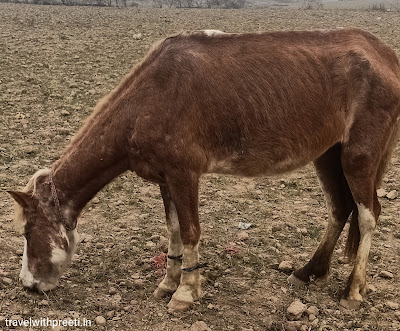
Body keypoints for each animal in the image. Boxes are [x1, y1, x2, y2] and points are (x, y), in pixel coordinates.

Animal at [8, 27, 400, 312]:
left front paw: (185, 292)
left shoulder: (185, 173)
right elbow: (174, 230)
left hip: (358, 156)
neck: (151, 97)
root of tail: (385, 55)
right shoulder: (165, 177)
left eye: (28, 231)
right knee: (340, 207)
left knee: (368, 214)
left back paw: (353, 291)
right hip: (327, 154)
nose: (29, 285)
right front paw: (168, 282)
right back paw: (308, 272)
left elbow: (191, 230)